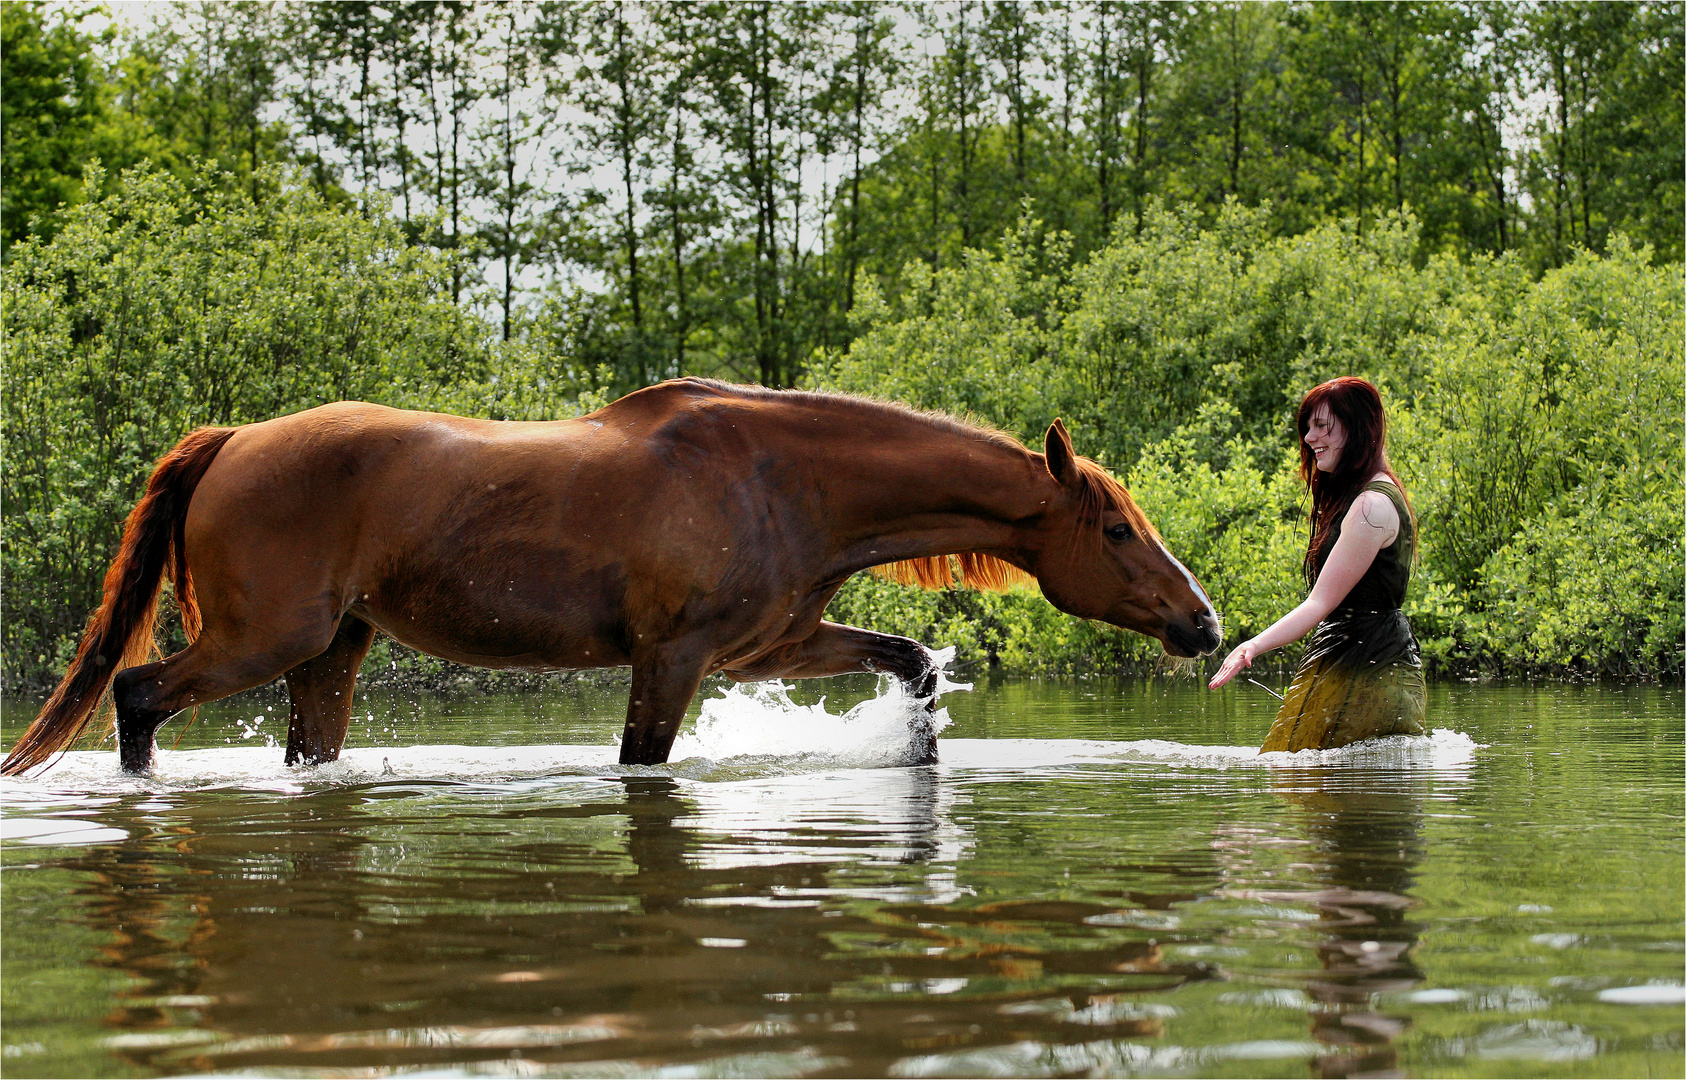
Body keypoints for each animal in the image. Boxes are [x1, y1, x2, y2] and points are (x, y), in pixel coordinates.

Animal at [0, 379, 1213, 775]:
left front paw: (916, 759)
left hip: (330, 656)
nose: (1201, 623)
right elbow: (642, 763)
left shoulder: (771, 647)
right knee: (137, 695)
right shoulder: (674, 659)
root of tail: (233, 440)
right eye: (1115, 528)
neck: (784, 478)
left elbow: (910, 664)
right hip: (264, 640)